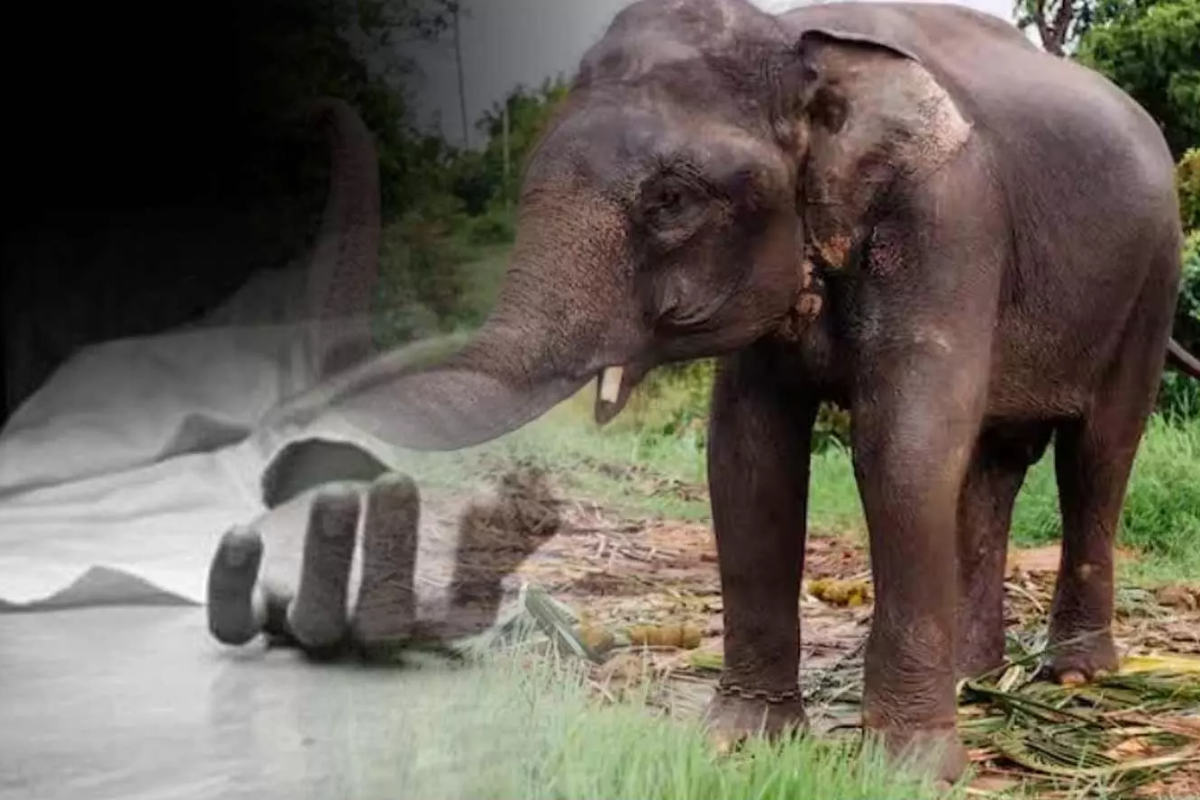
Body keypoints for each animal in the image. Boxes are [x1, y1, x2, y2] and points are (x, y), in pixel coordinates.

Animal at [248, 0, 1200, 781]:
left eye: (672, 199)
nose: (302, 113)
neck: (801, 42)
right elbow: (747, 452)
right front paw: (740, 742)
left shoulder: (949, 218)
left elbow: (901, 442)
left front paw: (907, 772)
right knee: (996, 464)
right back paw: (977, 676)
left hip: (1150, 278)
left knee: (1096, 454)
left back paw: (1071, 672)